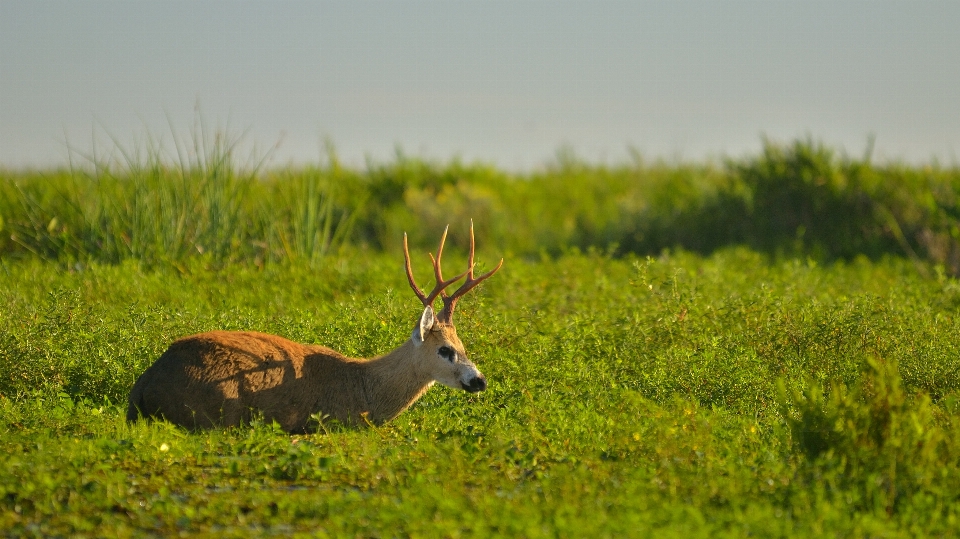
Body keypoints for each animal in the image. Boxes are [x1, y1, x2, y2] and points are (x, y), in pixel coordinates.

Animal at [125, 225, 502, 434]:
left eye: (463, 344)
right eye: (444, 350)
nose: (480, 381)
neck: (364, 387)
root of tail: (144, 383)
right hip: (214, 414)